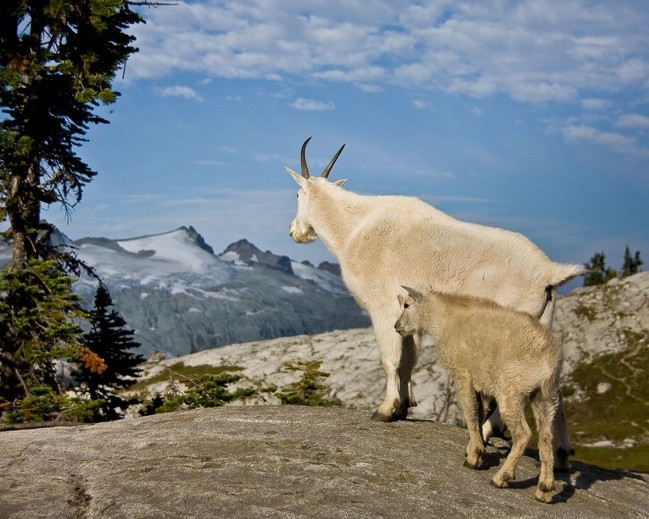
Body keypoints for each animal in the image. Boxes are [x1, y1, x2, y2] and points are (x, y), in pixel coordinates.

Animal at [282, 138, 584, 472]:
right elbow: (407, 360)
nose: (295, 231)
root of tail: (548, 273)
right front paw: (403, 407)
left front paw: (384, 410)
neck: (353, 227)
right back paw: (561, 453)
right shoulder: (407, 314)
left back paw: (489, 432)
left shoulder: (382, 307)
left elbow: (390, 359)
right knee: (552, 383)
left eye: (297, 194)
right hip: (541, 325)